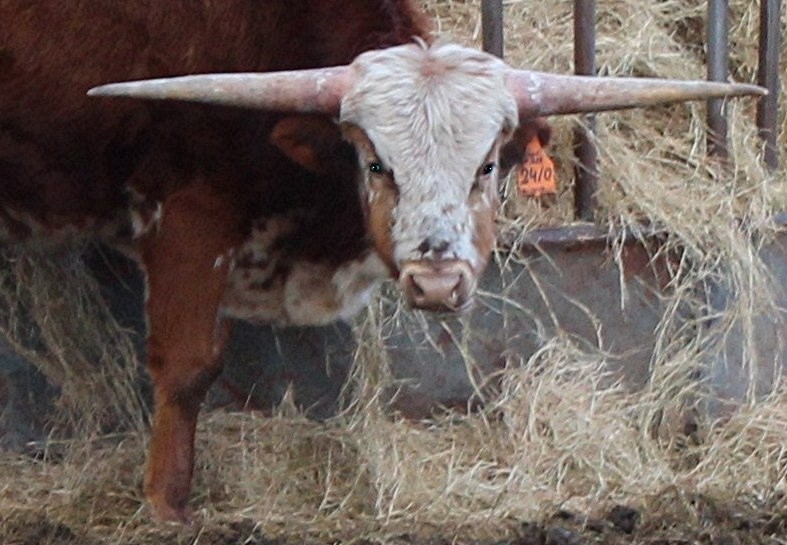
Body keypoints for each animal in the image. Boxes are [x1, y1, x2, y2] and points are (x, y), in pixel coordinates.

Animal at [0, 0, 763, 522]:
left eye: (488, 165)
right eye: (375, 161)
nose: (437, 280)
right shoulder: (187, 213)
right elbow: (188, 367)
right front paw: (166, 504)